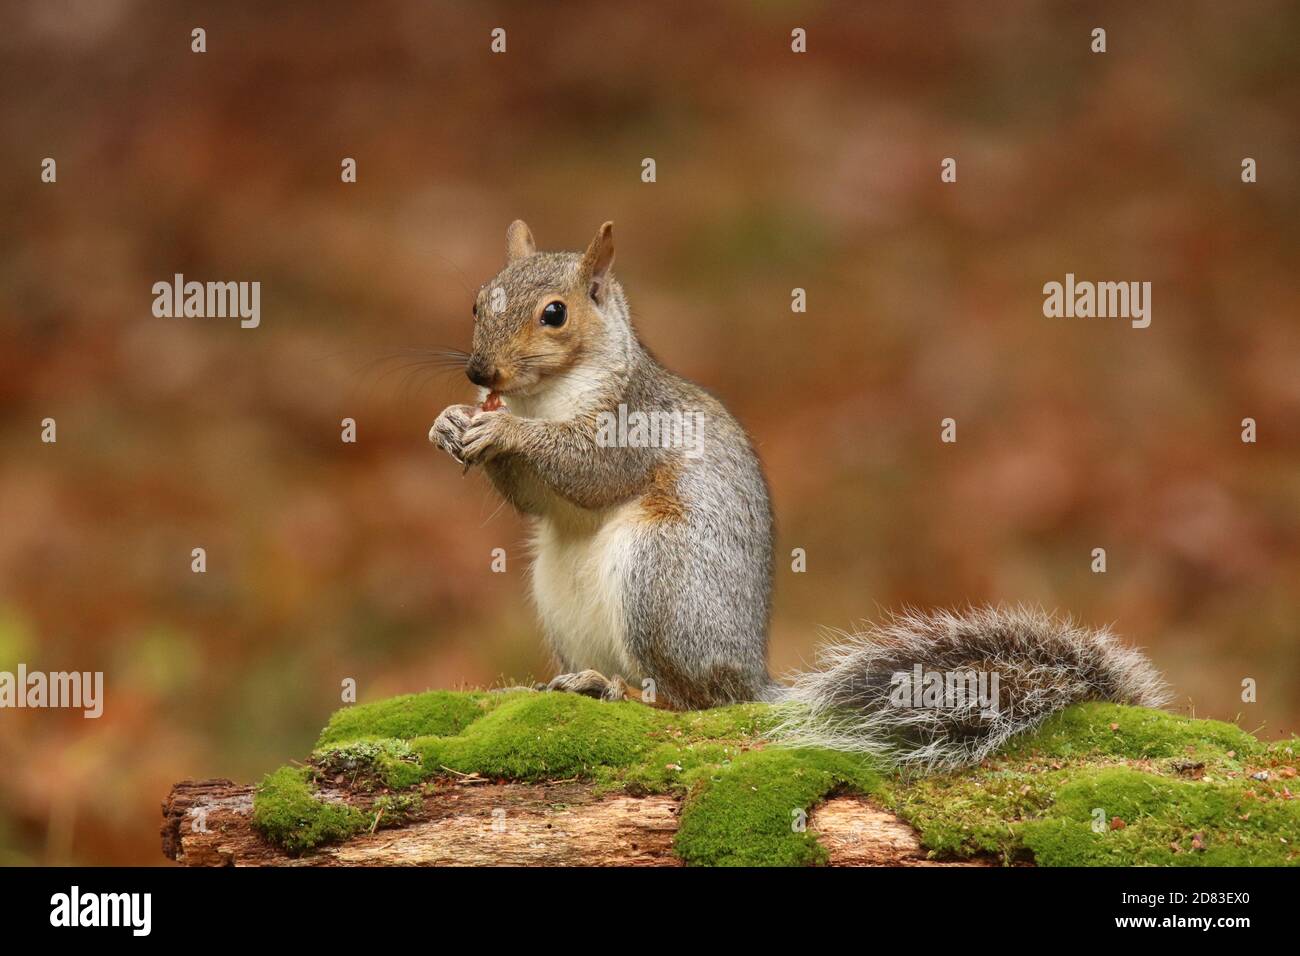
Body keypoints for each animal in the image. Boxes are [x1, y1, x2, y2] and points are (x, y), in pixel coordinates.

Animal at [429, 220, 1170, 770]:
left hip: (661, 579)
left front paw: (505, 429)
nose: (479, 373)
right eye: (476, 301)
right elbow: (536, 502)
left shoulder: (634, 422)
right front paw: (450, 423)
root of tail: (751, 677)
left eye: (555, 314)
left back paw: (620, 689)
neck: (549, 394)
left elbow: (589, 470)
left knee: (688, 701)